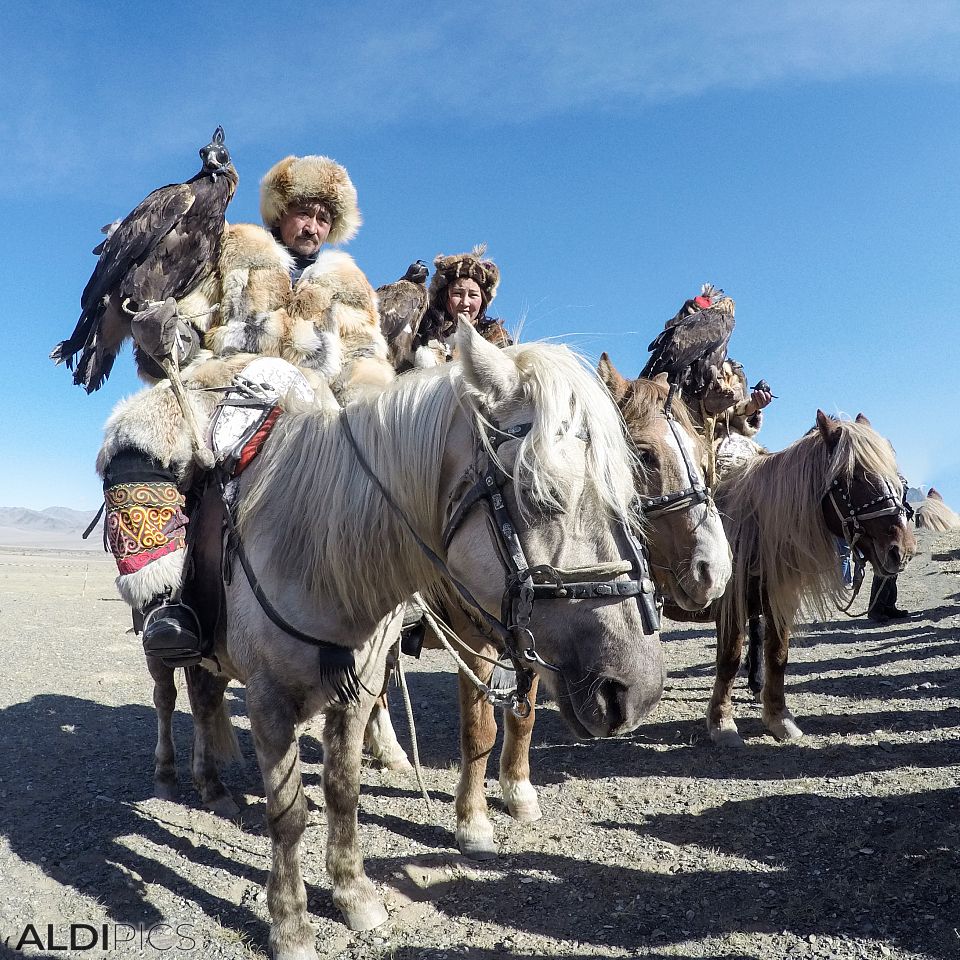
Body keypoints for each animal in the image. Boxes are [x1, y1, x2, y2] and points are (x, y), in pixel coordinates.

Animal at [174, 322, 660, 952]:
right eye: (539, 495)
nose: (638, 691)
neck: (314, 546)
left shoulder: (356, 690)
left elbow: (344, 790)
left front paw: (354, 894)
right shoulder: (267, 701)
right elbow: (288, 813)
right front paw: (291, 926)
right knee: (184, 692)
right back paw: (197, 779)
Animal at [364, 350, 732, 856]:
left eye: (702, 454)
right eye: (643, 456)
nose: (716, 570)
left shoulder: (535, 639)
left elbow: (525, 720)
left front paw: (518, 793)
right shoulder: (474, 641)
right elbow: (480, 729)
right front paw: (473, 820)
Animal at [704, 408, 916, 748]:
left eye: (898, 479)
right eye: (854, 478)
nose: (901, 551)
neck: (755, 524)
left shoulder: (779, 600)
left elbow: (777, 655)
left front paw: (779, 718)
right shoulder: (730, 605)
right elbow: (729, 659)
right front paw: (721, 723)